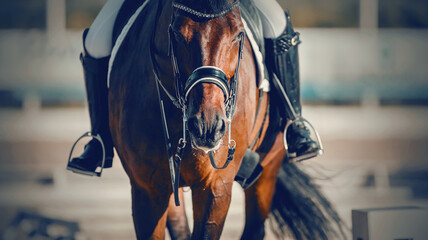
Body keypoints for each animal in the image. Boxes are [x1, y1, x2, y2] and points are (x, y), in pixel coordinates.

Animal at [108, 0, 344, 238]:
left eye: (238, 34)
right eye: (176, 33)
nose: (207, 127)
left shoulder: (215, 184)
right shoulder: (147, 189)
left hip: (269, 167)